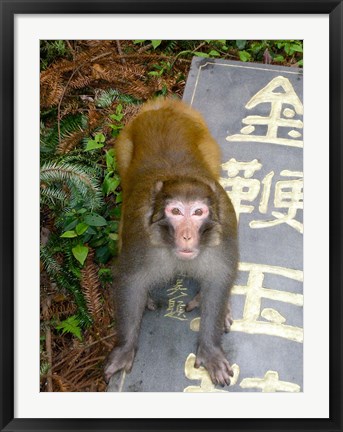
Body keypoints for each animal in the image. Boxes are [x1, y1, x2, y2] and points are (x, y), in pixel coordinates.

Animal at [104, 98, 239, 388]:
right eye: (176, 211)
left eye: (198, 212)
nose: (187, 235)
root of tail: (163, 107)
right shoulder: (141, 242)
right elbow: (131, 283)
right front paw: (125, 349)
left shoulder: (224, 237)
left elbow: (219, 280)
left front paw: (210, 349)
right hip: (123, 147)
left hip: (209, 144)